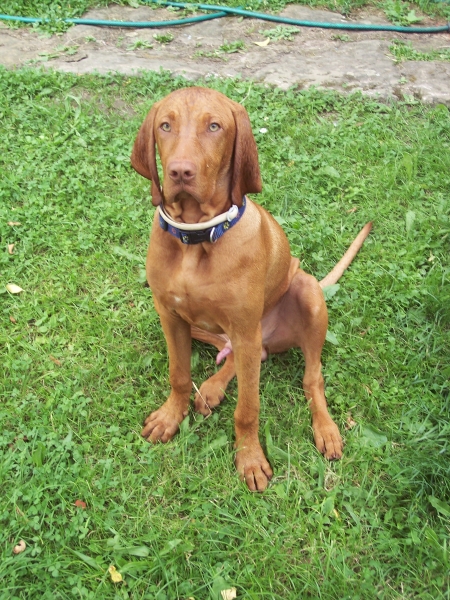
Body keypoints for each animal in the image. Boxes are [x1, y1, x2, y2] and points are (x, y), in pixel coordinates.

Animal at [131, 87, 372, 491]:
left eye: (214, 126)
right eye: (165, 125)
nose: (180, 171)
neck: (197, 239)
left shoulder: (244, 327)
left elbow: (248, 408)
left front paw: (250, 459)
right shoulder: (170, 315)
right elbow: (179, 376)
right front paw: (170, 417)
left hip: (305, 293)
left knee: (311, 377)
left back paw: (325, 430)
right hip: (215, 331)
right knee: (247, 356)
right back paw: (213, 387)